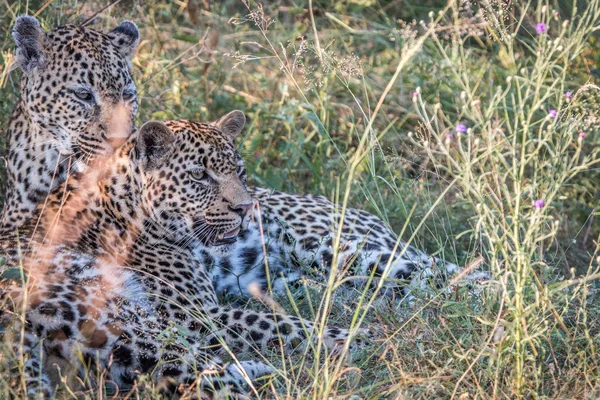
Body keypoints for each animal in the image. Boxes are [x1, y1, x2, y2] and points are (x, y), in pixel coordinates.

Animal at [1, 113, 360, 400]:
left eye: (239, 172)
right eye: (200, 176)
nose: (246, 208)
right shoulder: (195, 315)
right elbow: (273, 321)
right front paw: (349, 336)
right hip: (138, 326)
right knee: (216, 384)